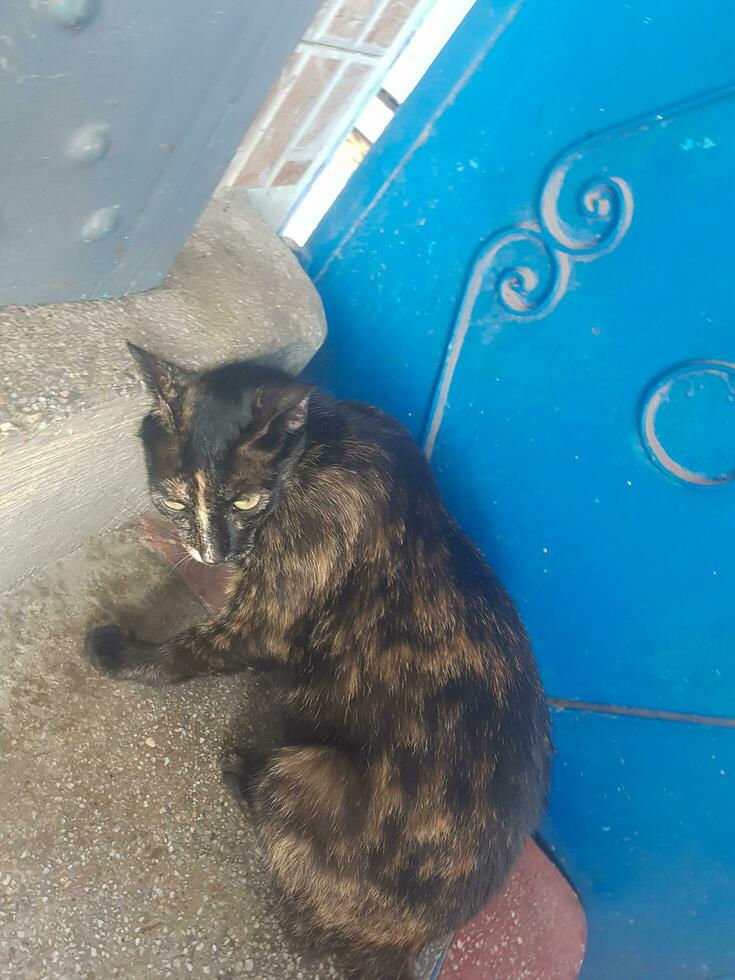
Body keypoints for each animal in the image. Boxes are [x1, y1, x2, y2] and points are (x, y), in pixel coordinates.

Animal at [83, 346, 548, 980]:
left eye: (246, 499)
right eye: (175, 499)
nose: (212, 552)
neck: (313, 453)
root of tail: (402, 944)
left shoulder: (264, 620)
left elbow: (187, 650)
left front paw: (120, 654)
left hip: (306, 771)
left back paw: (239, 770)